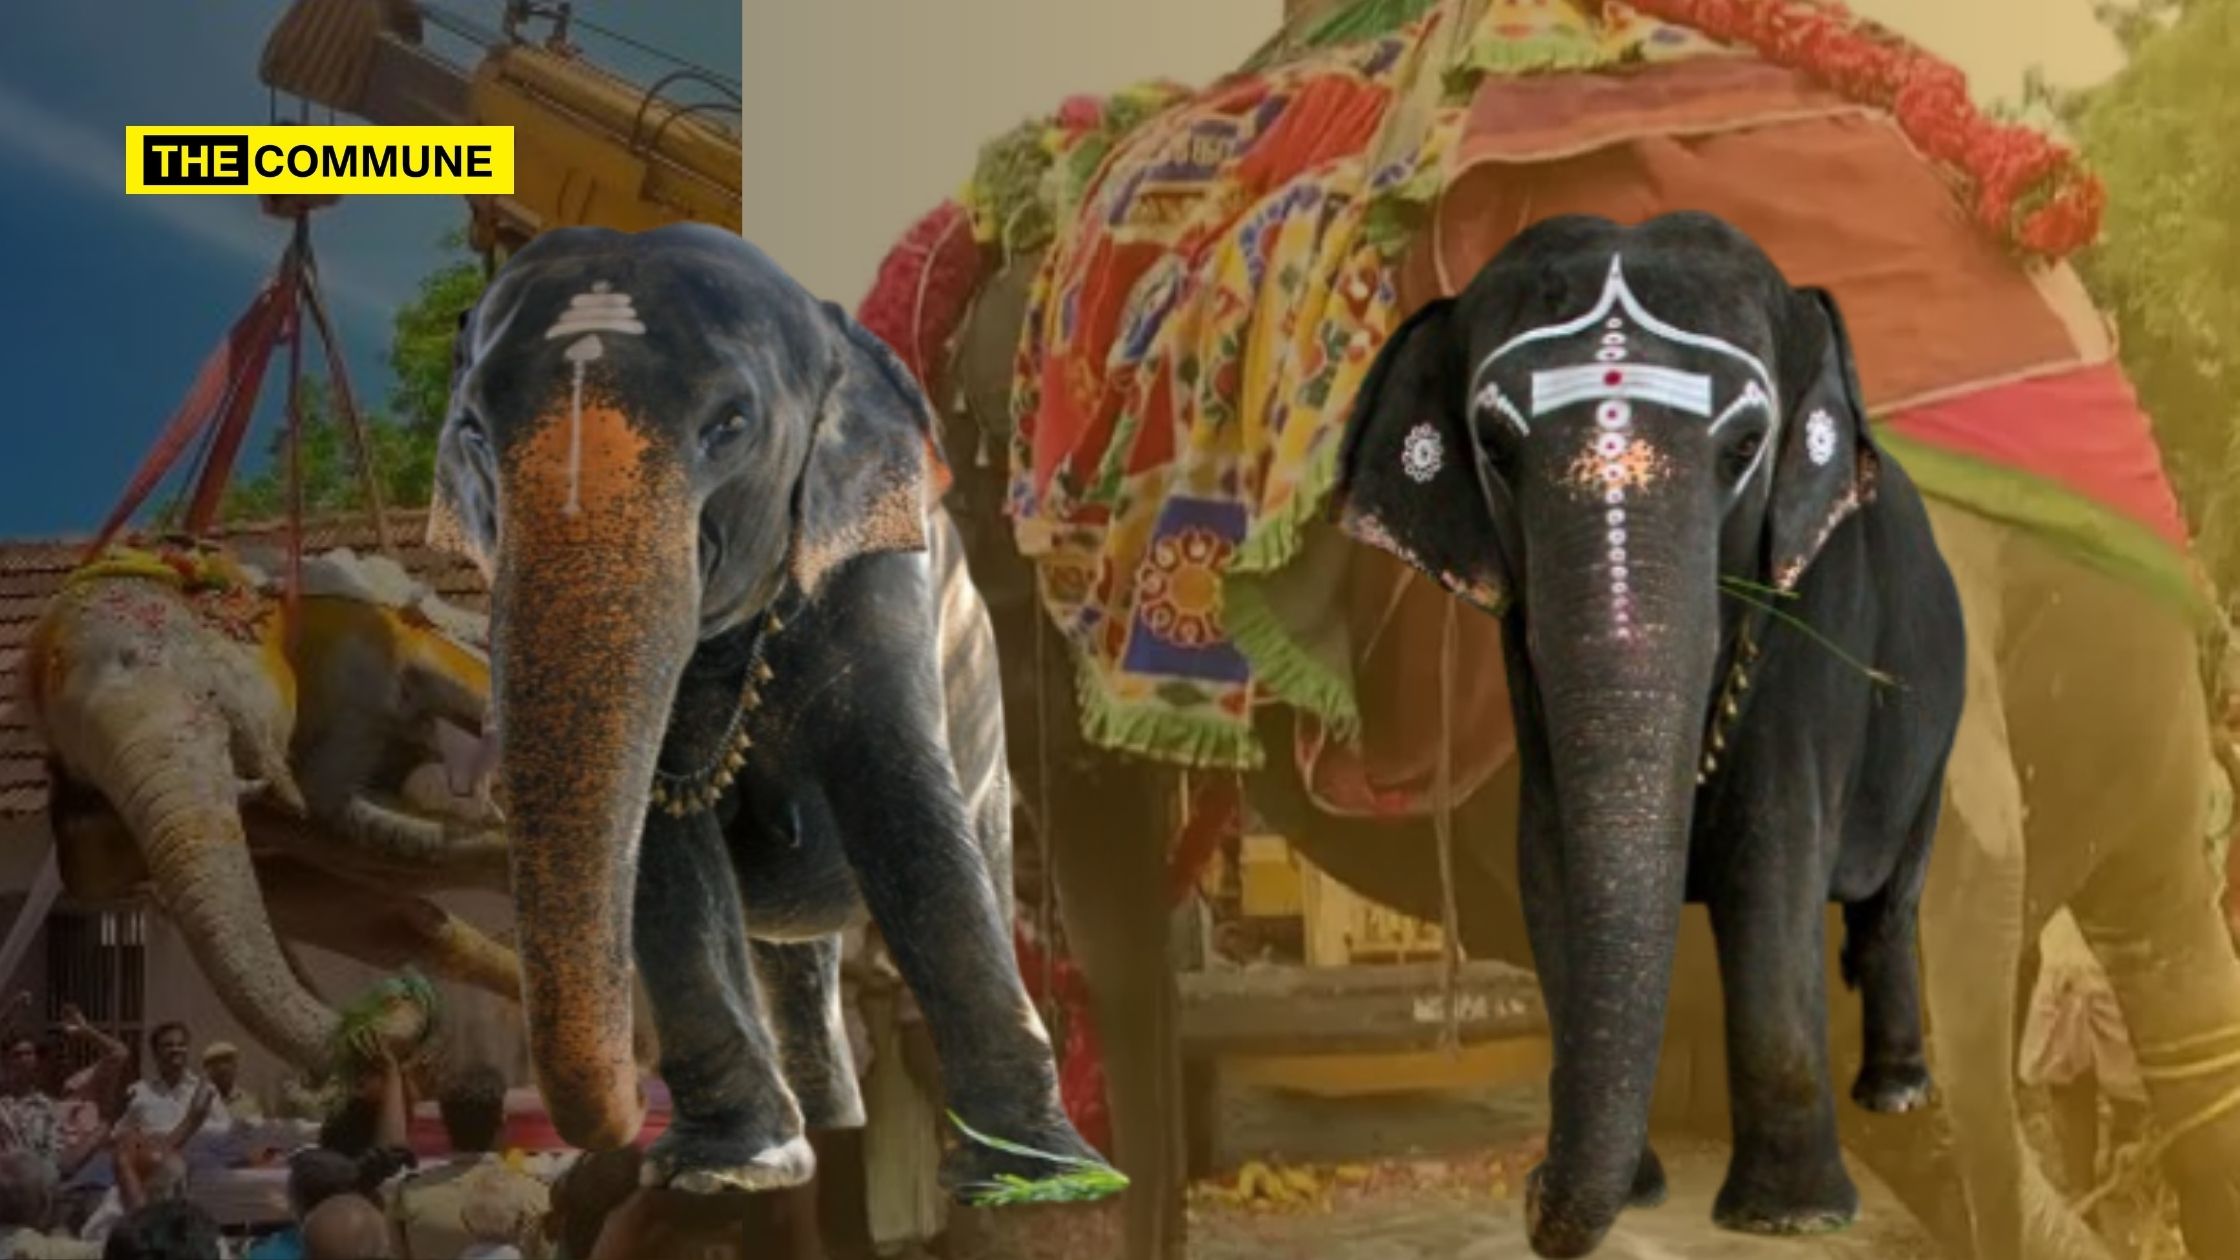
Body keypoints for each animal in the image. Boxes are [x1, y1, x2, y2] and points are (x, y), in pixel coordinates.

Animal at [425, 222, 1111, 1201]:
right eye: (474, 430)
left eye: (731, 425)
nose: (613, 1132)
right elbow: (663, 853)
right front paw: (725, 1168)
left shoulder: (881, 584)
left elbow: (908, 821)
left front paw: (1044, 1179)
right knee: (794, 956)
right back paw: (825, 1131)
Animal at [1328, 211, 1966, 1255]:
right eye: (1494, 447)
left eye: (1745, 445)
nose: (1526, 1192)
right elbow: (1547, 868)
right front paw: (1632, 1195)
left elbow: (1773, 870)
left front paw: (1793, 1219)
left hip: (1940, 730)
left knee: (1890, 898)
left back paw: (1899, 1094)